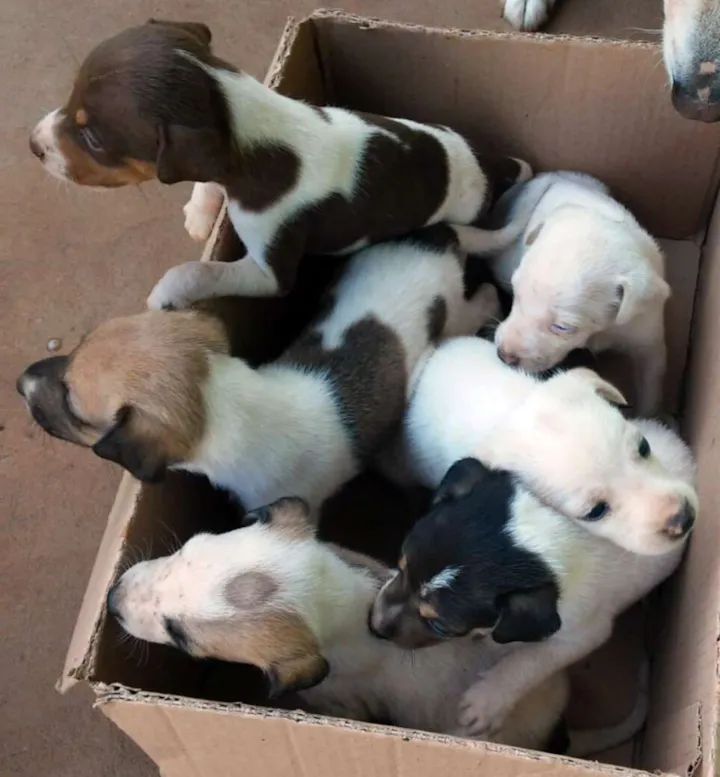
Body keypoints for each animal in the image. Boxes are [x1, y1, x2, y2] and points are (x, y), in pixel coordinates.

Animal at [16, 226, 499, 513]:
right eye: (77, 344)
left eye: (73, 406)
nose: (20, 383)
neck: (229, 402)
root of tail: (438, 233)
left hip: (457, 314)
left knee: (481, 301)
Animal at [28, 19, 531, 311]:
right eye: (70, 96)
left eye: (92, 137)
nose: (33, 145)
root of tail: (487, 164)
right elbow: (206, 182)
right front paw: (201, 211)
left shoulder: (270, 271)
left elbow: (202, 270)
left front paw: (166, 291)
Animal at [107, 494, 648, 756]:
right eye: (187, 546)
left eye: (180, 635)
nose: (111, 600)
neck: (345, 596)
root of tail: (560, 733)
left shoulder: (337, 698)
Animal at [371, 416, 695, 740]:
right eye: (402, 565)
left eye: (440, 625)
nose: (373, 625)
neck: (547, 539)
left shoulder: (581, 634)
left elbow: (528, 662)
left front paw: (487, 700)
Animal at [475, 171, 670, 415]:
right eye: (516, 295)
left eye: (563, 327)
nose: (504, 355)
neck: (603, 330)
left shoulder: (646, 335)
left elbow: (651, 384)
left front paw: (649, 418)